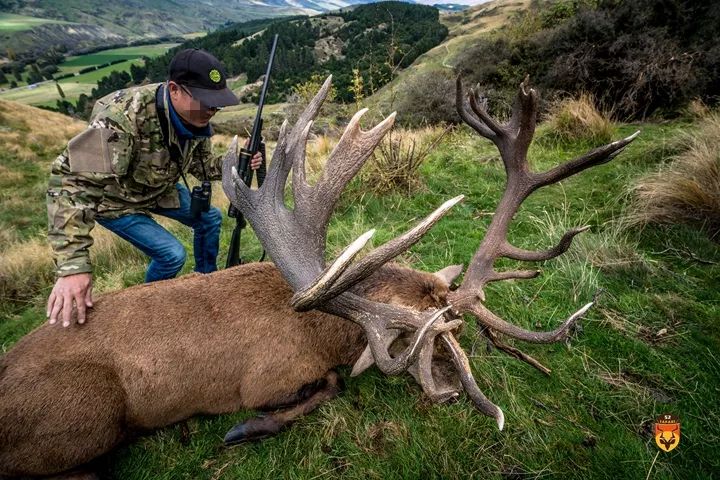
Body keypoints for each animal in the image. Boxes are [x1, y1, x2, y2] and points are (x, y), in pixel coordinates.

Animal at [0, 77, 636, 478]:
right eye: (435, 348)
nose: (458, 392)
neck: (329, 330)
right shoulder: (266, 377)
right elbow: (329, 385)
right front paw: (245, 430)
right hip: (89, 413)